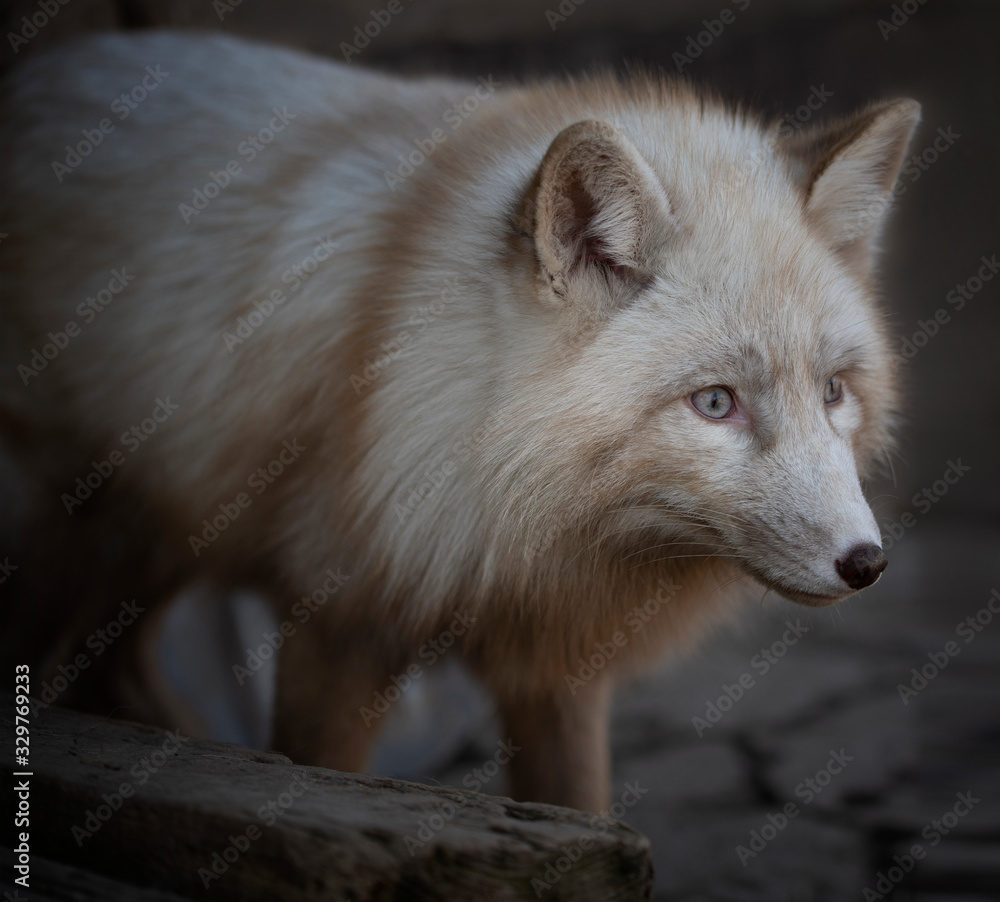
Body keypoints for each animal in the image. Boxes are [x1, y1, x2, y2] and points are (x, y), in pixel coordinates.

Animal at [0, 31, 918, 813]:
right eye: (717, 402)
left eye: (833, 391)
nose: (868, 564)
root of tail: (51, 61)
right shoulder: (340, 618)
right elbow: (319, 765)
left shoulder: (558, 661)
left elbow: (576, 805)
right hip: (73, 537)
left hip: (149, 533)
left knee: (110, 669)